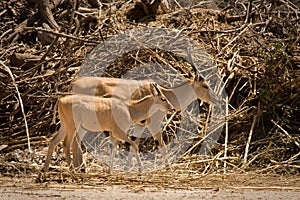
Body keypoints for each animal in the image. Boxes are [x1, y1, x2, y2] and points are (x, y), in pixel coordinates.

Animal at [42, 82, 173, 173]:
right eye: (163, 98)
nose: (171, 108)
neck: (129, 108)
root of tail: (61, 100)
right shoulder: (118, 132)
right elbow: (134, 146)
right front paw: (141, 170)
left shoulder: (114, 134)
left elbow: (113, 149)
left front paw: (110, 171)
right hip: (72, 126)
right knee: (66, 144)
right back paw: (72, 170)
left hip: (66, 127)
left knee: (54, 141)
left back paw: (45, 170)